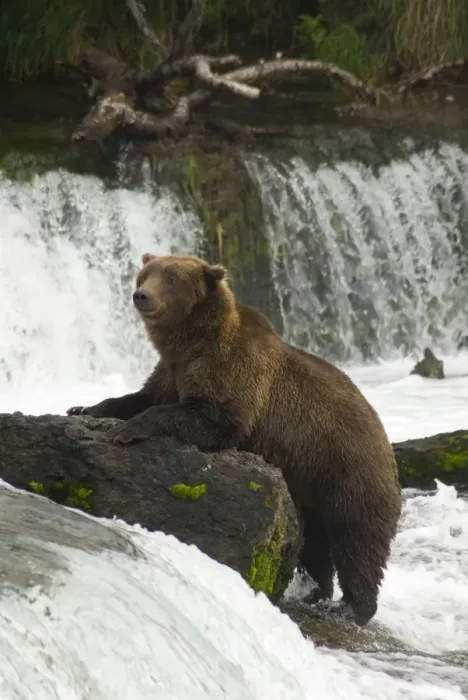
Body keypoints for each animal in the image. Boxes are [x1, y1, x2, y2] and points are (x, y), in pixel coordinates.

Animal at [68, 253, 402, 626]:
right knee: (315, 542)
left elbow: (212, 418)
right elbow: (139, 398)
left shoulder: (233, 372)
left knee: (357, 542)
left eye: (171, 278)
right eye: (145, 274)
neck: (191, 342)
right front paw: (83, 408)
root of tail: (384, 437)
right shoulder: (170, 372)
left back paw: (353, 608)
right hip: (308, 485)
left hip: (347, 470)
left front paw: (123, 431)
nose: (141, 295)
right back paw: (317, 593)